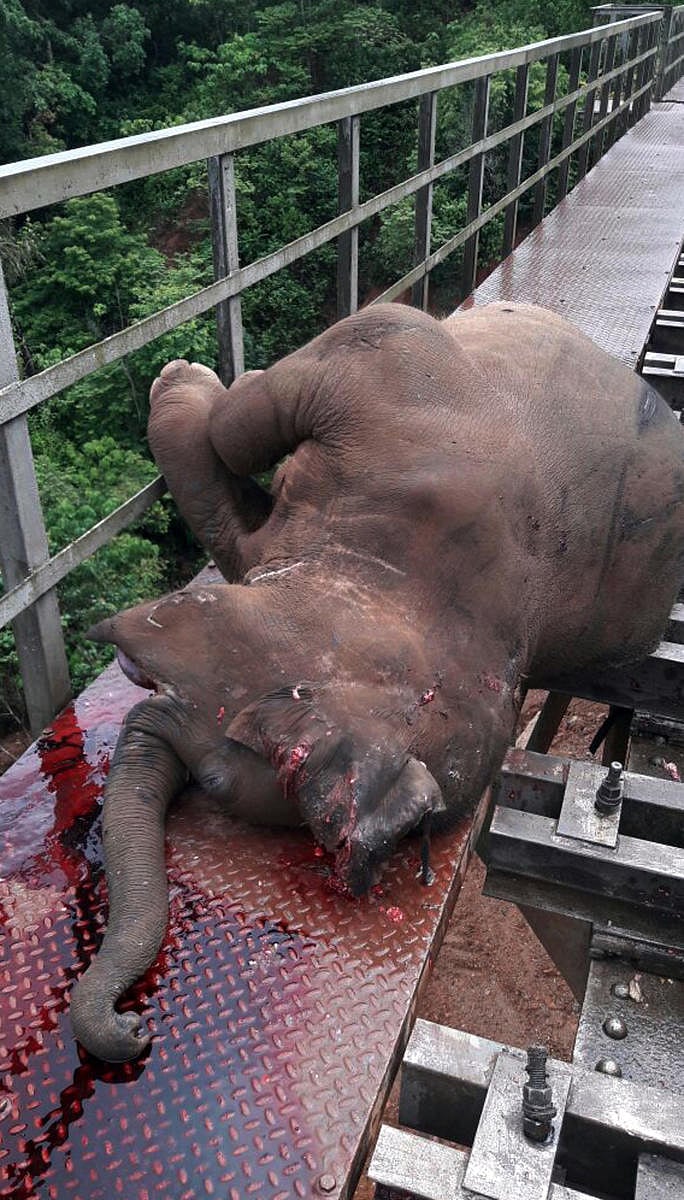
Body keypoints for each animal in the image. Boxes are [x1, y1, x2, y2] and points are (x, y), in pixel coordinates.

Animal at [70, 301, 684, 1062]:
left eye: (211, 781)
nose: (134, 1030)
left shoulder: (374, 378)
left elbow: (227, 450)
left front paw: (179, 377)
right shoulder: (391, 368)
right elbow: (243, 433)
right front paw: (195, 374)